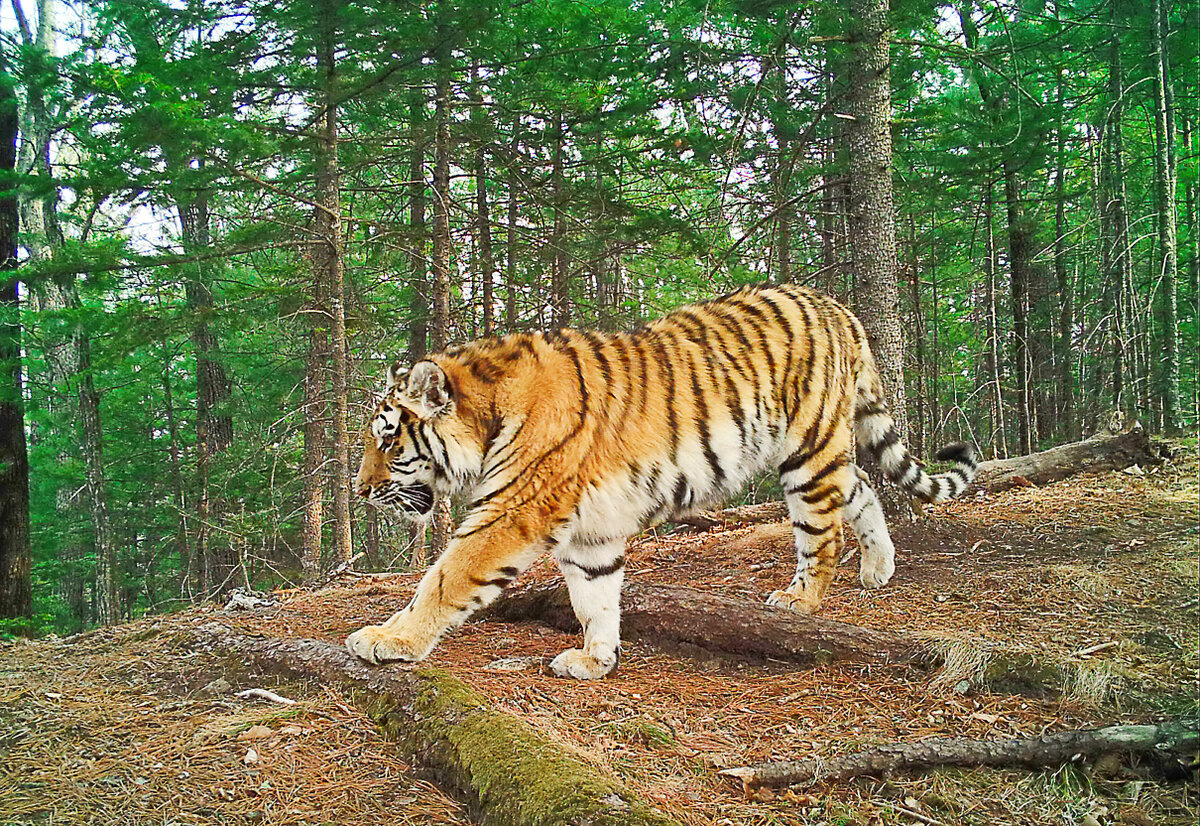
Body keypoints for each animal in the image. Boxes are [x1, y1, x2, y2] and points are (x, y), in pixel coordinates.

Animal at [345, 282, 974, 677]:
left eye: (387, 441)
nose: (359, 491)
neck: (487, 413)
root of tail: (836, 306)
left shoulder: (512, 510)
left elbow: (444, 578)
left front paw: (388, 639)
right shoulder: (590, 529)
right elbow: (594, 596)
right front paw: (597, 659)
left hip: (807, 449)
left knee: (824, 533)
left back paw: (800, 600)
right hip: (816, 450)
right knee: (862, 486)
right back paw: (878, 568)